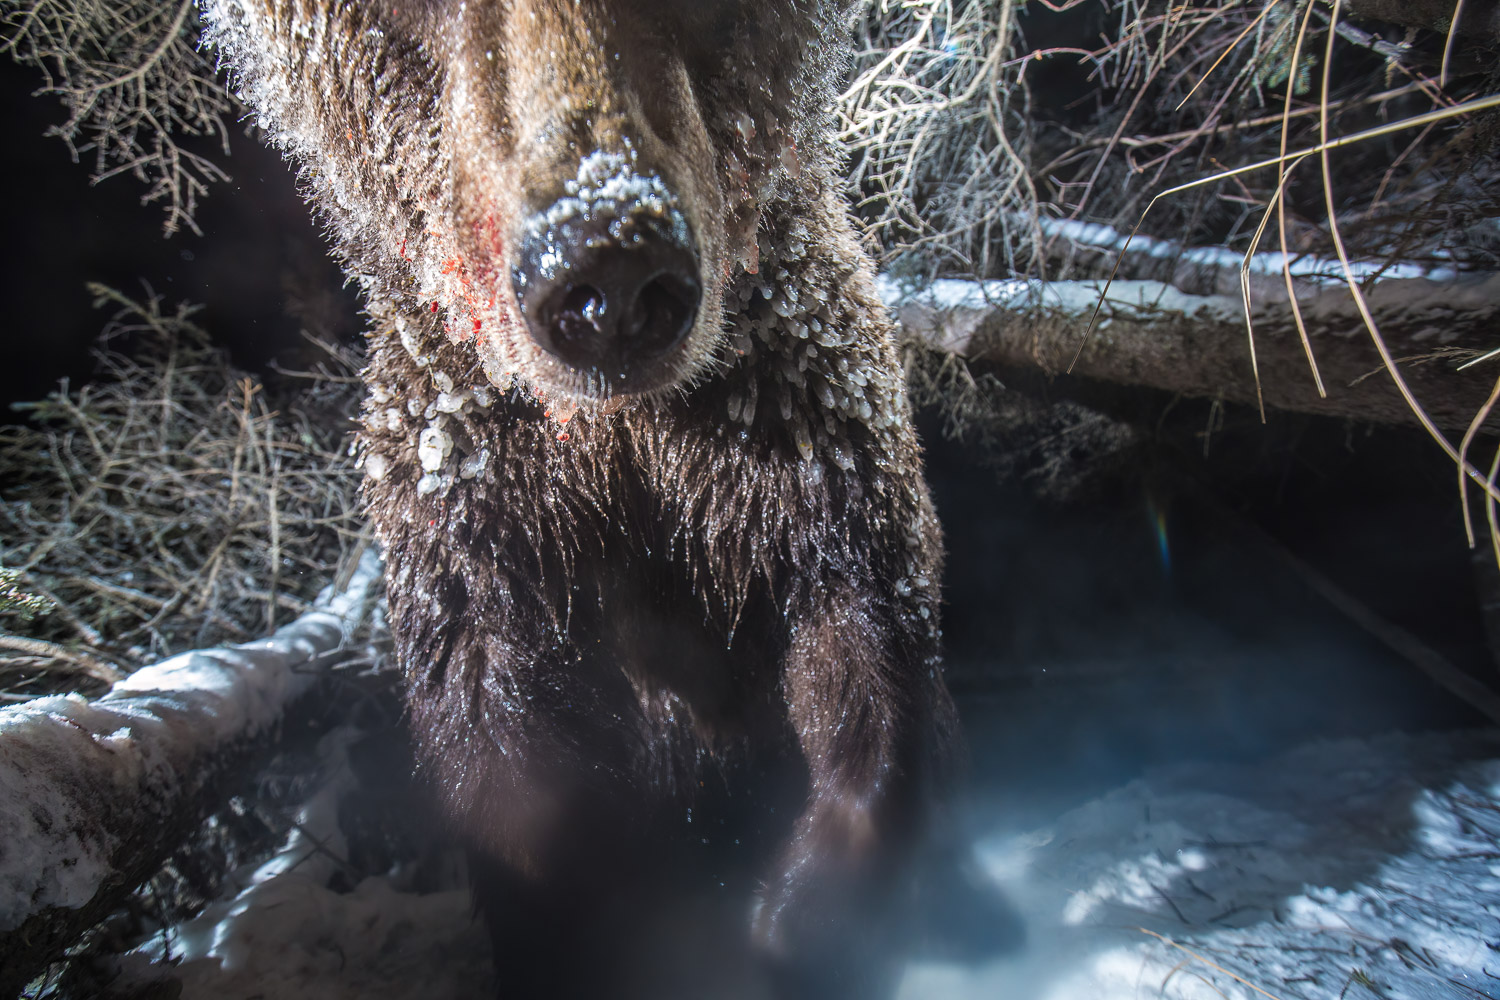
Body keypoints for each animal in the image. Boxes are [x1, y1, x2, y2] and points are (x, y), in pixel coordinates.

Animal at [199, 1, 954, 995]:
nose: (611, 273)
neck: (617, 430)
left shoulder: (792, 410)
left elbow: (861, 621)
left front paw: (802, 908)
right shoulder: (480, 486)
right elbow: (503, 735)